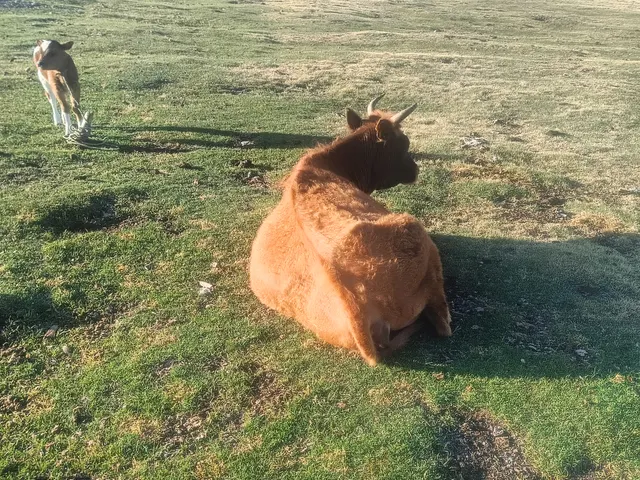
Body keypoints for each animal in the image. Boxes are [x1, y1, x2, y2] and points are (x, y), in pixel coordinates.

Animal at [249, 99, 452, 366]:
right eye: (404, 143)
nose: (415, 170)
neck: (329, 163)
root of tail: (355, 306)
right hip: (417, 233)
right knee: (441, 320)